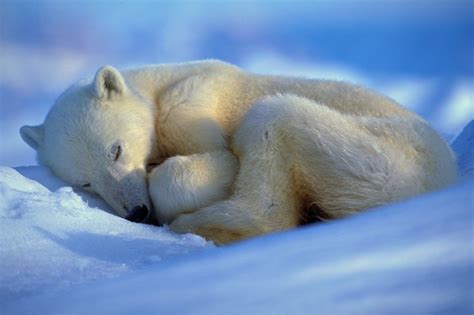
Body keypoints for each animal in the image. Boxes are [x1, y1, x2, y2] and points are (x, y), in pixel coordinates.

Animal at [20, 61, 458, 244]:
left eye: (116, 150)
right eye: (85, 183)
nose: (136, 213)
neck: (157, 85)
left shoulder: (189, 103)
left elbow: (221, 160)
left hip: (379, 155)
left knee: (269, 122)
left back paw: (197, 224)